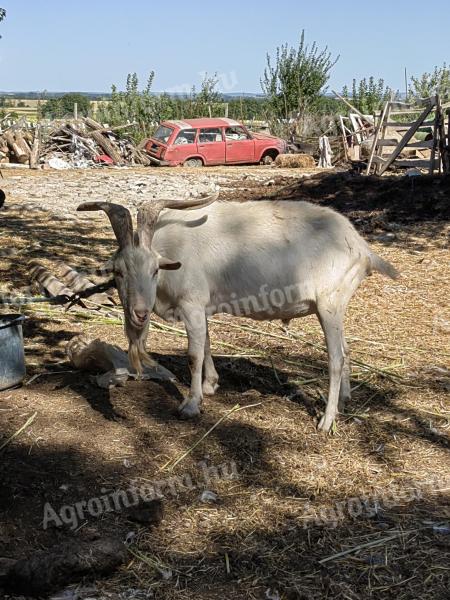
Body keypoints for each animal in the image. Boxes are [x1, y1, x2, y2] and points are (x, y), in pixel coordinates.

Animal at [78, 192, 398, 432]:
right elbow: (207, 343)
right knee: (346, 350)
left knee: (336, 358)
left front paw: (191, 404)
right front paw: (210, 385)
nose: (139, 313)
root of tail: (361, 247)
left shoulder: (192, 304)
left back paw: (327, 420)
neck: (170, 251)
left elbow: (193, 354)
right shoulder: (202, 307)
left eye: (155, 269)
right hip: (337, 306)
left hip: (328, 303)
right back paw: (344, 401)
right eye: (118, 272)